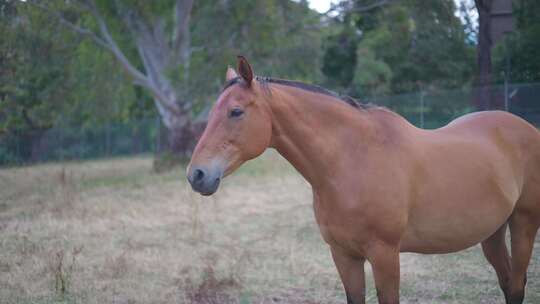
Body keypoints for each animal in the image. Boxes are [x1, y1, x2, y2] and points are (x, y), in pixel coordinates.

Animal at [187, 55, 540, 302]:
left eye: (236, 112)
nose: (197, 175)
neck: (351, 161)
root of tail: (526, 128)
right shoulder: (344, 256)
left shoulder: (385, 256)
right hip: (492, 232)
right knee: (508, 283)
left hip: (523, 223)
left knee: (517, 285)